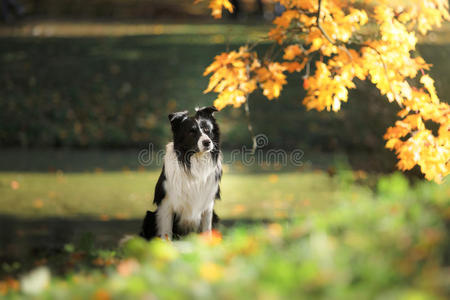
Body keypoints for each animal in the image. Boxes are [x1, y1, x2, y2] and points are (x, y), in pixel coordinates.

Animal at [138, 106, 221, 240]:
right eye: (191, 132)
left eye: (207, 129)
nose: (207, 142)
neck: (194, 161)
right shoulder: (166, 203)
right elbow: (166, 234)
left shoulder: (208, 204)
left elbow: (207, 231)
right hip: (149, 216)